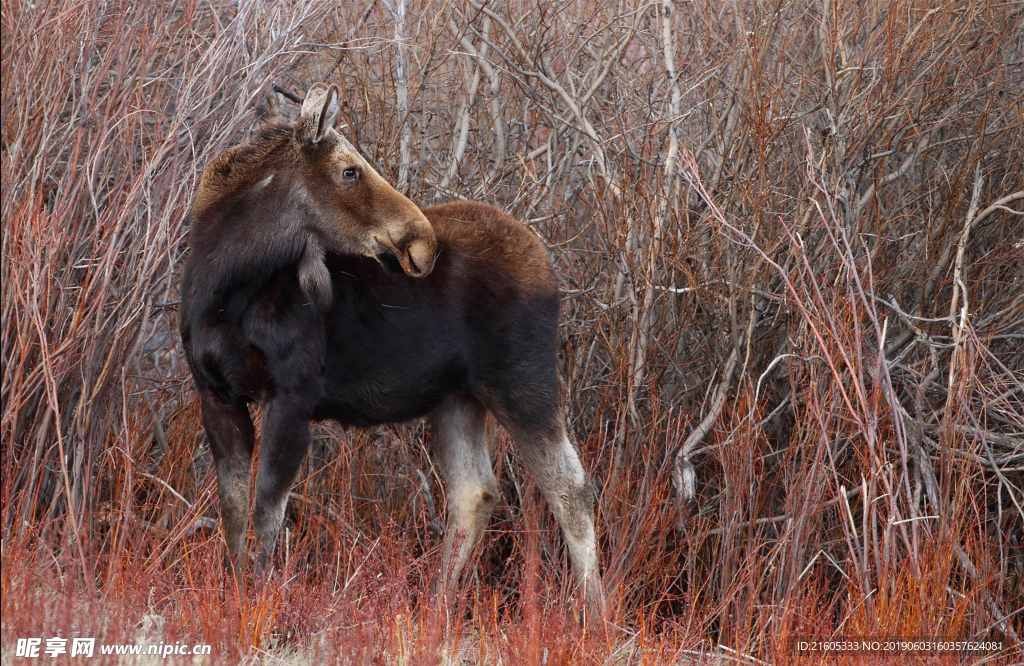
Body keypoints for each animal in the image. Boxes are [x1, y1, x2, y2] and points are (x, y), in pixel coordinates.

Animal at [181, 82, 602, 610]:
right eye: (349, 170)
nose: (421, 241)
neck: (223, 290)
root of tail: (547, 262)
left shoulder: (292, 398)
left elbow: (266, 515)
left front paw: (256, 604)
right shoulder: (216, 395)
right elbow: (235, 515)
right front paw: (236, 597)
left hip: (524, 383)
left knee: (571, 489)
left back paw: (595, 615)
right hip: (457, 397)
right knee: (475, 491)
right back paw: (436, 610)